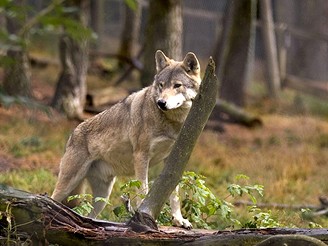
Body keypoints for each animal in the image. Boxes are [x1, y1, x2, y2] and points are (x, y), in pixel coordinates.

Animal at [51, 50, 201, 229]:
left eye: (177, 85)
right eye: (161, 85)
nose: (161, 103)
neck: (171, 122)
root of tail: (72, 133)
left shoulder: (172, 160)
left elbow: (174, 194)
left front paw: (179, 220)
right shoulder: (141, 156)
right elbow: (143, 191)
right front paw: (146, 219)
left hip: (103, 197)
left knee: (89, 216)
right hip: (68, 186)